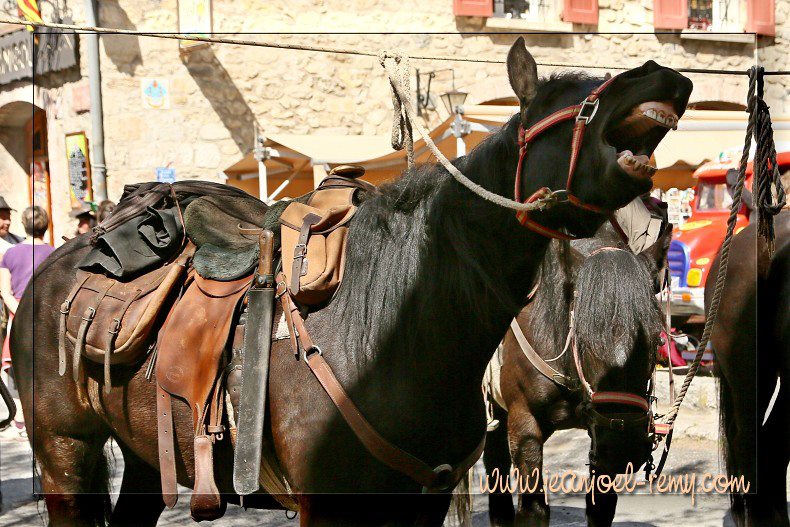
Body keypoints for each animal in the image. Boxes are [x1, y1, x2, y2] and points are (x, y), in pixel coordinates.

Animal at [12, 39, 692, 524]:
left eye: (651, 331)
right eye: (567, 97)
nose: (659, 73)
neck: (401, 333)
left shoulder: (422, 500)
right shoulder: (331, 505)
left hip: (144, 456)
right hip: (65, 457)